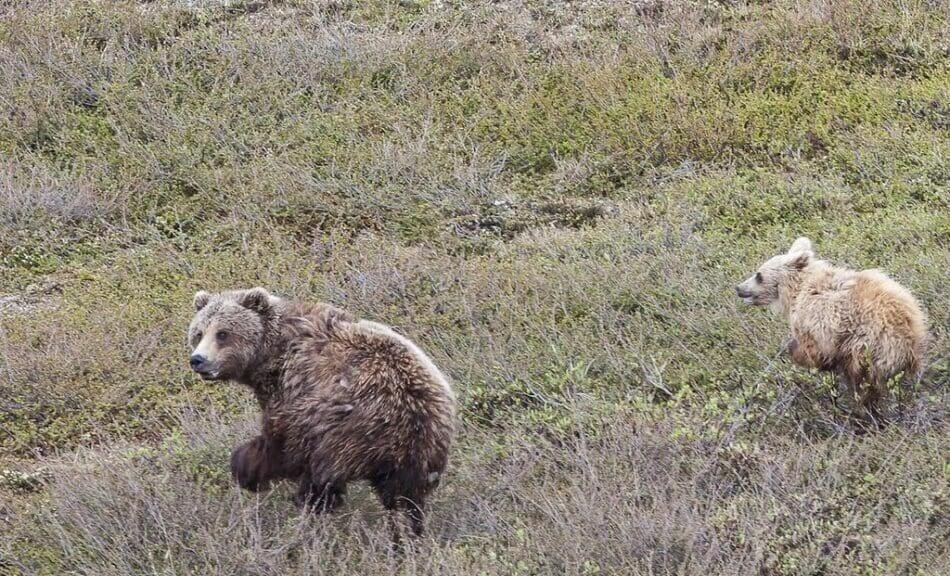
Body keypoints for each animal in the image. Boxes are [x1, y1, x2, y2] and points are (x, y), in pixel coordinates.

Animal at [186, 287, 457, 538]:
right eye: (198, 332)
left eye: (223, 333)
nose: (198, 360)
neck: (271, 355)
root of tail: (413, 416)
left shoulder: (294, 387)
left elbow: (280, 443)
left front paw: (246, 467)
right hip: (421, 453)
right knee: (405, 499)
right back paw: (407, 535)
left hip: (346, 426)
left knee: (318, 473)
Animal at [735, 237, 928, 422]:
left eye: (759, 275)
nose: (738, 288)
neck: (796, 290)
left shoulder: (817, 320)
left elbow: (814, 349)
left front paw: (796, 352)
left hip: (867, 346)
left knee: (861, 380)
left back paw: (862, 409)